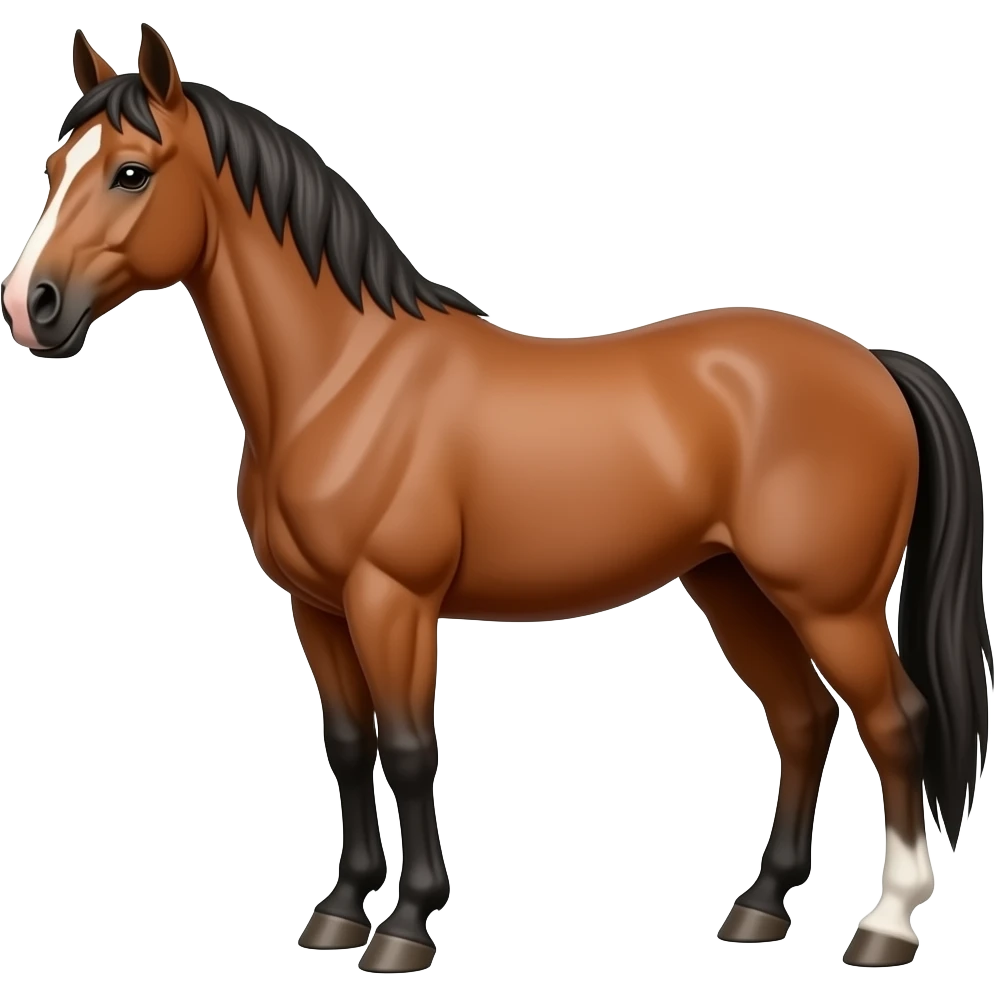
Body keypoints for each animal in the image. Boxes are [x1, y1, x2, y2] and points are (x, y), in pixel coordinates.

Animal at [2, 25, 990, 974]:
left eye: (132, 171)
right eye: (54, 167)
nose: (30, 307)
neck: (343, 379)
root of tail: (873, 364)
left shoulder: (391, 600)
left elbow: (410, 751)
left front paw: (405, 927)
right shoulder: (317, 608)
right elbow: (349, 746)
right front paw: (338, 912)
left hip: (831, 604)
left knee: (894, 722)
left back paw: (887, 925)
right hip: (733, 587)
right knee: (803, 720)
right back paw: (759, 908)